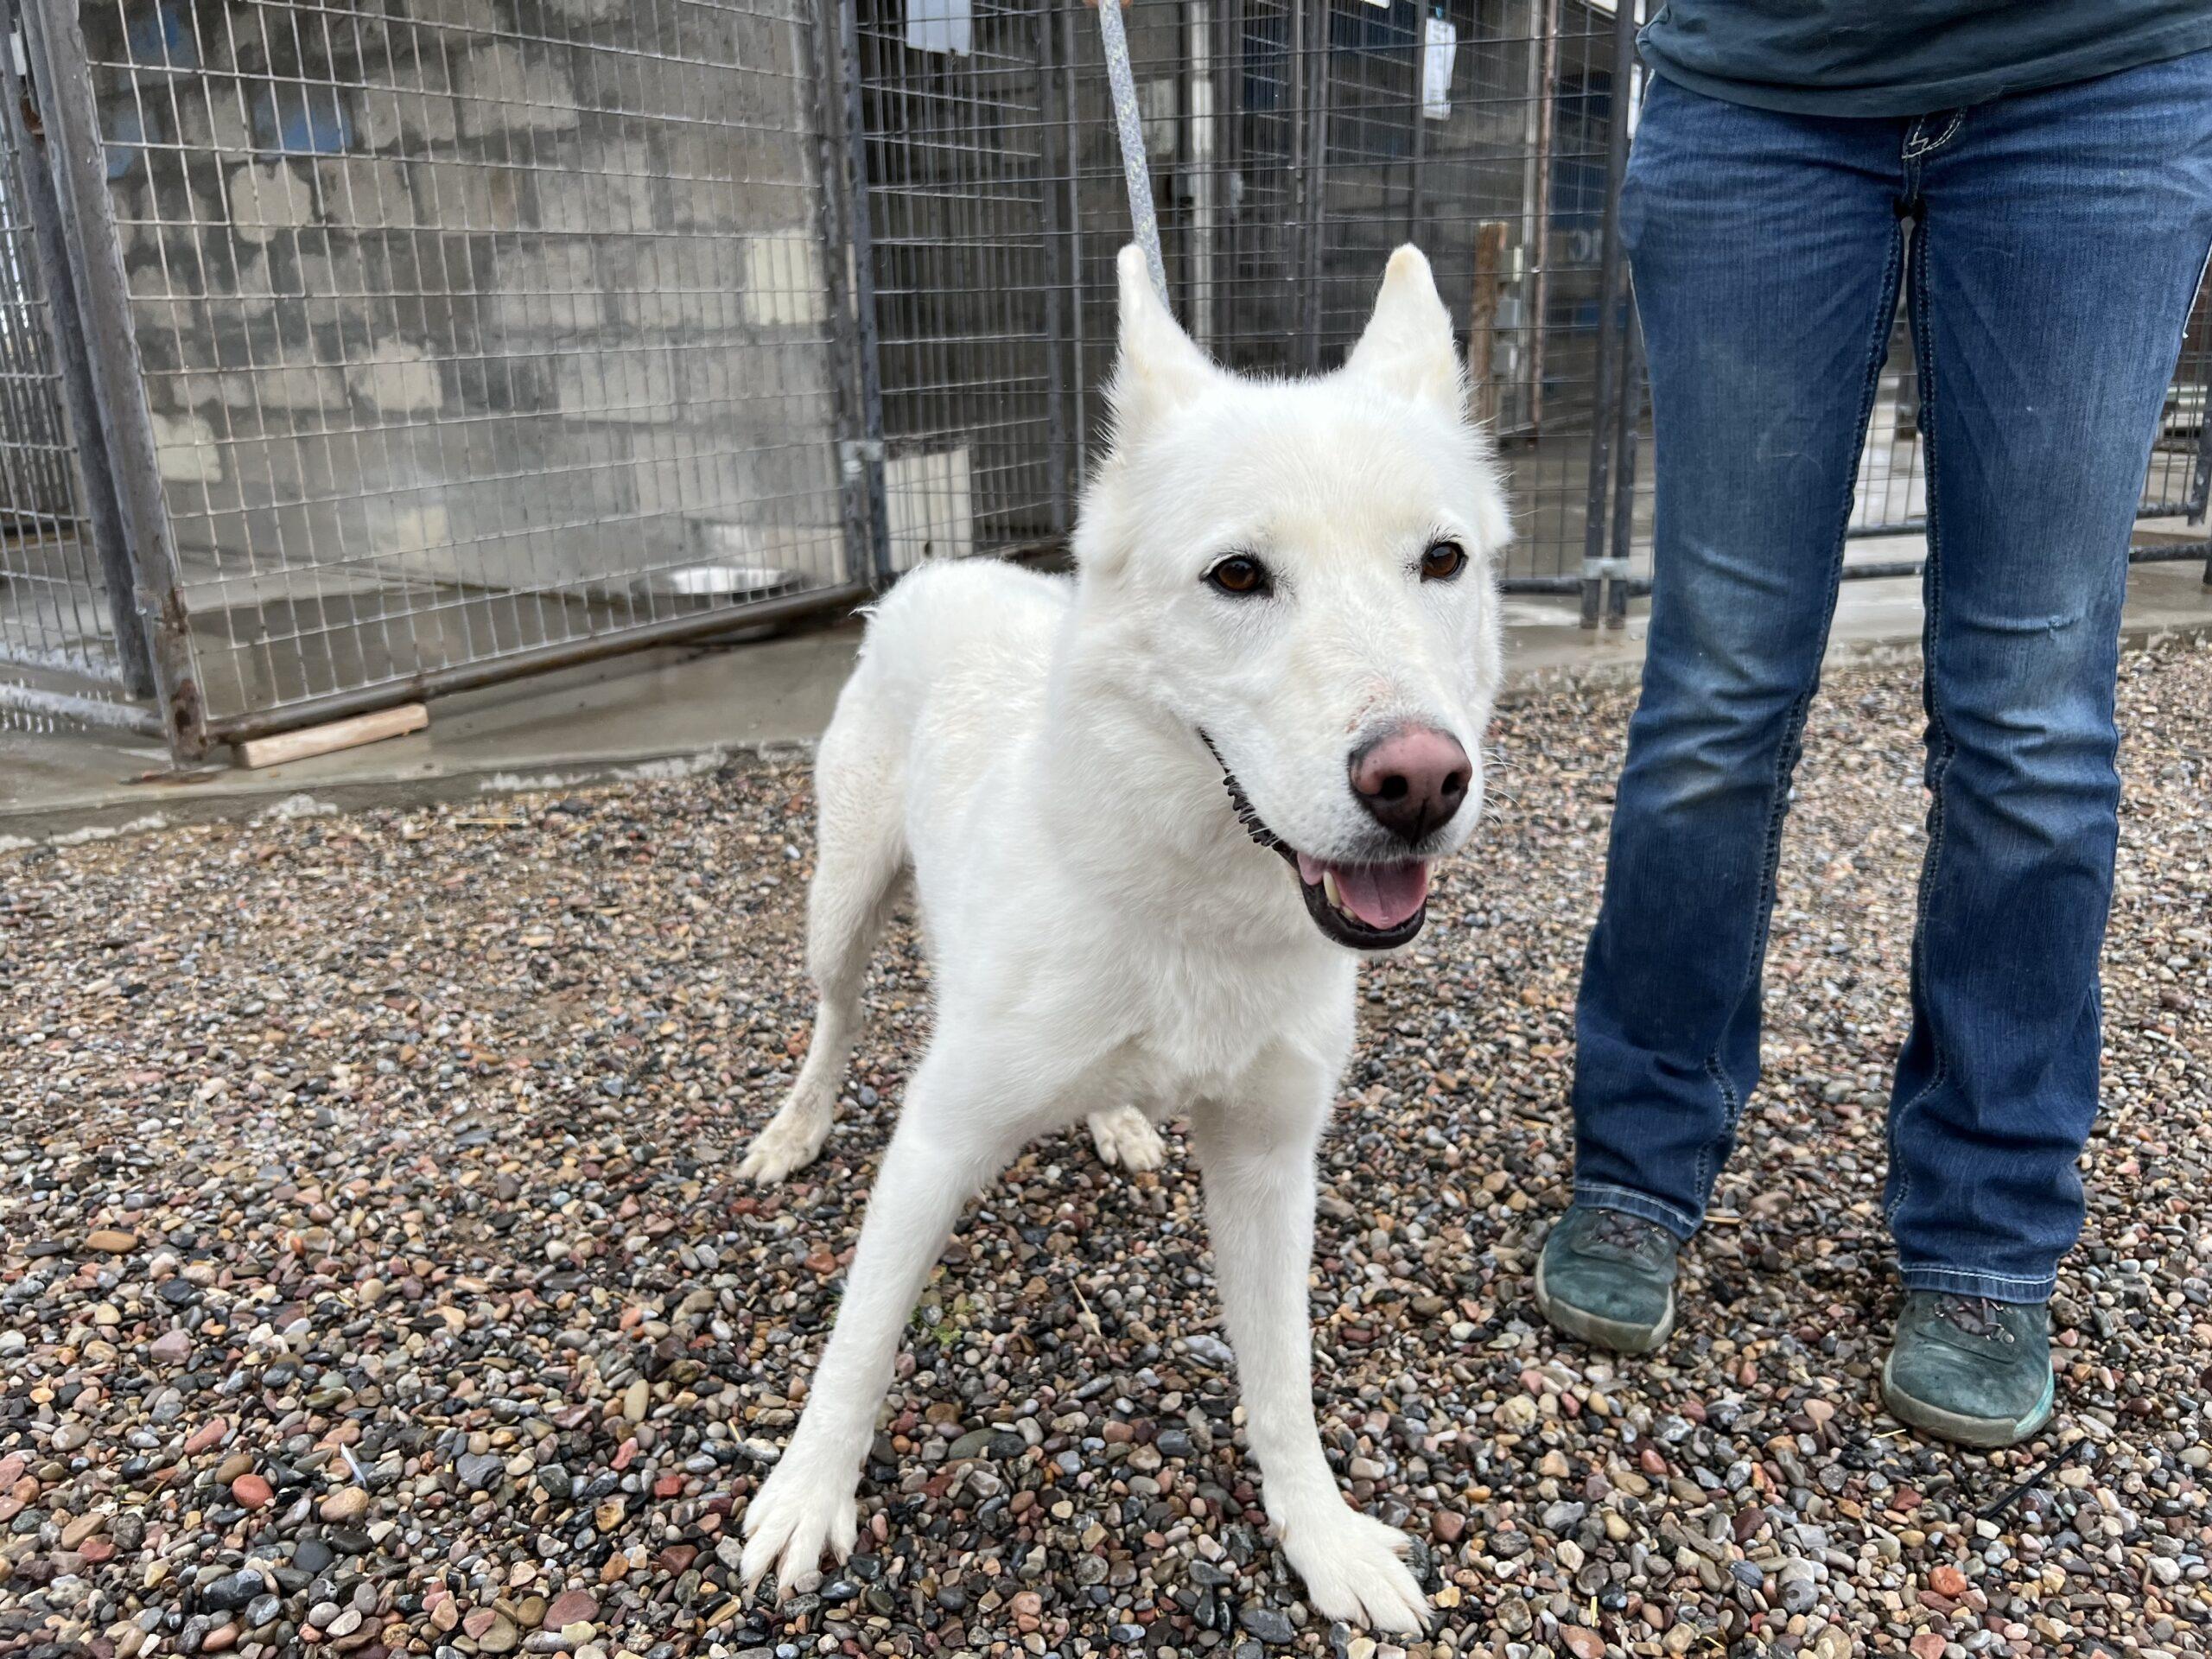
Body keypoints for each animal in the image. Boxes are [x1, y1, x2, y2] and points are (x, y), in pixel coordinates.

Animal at [734, 246, 1513, 1637]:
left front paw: (1320, 1539)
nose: (1420, 781)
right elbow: (859, 1346)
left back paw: (1118, 1121)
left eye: (1441, 559)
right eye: (1239, 576)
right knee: (835, 1017)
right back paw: (797, 1126)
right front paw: (806, 1497)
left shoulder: (1270, 1165)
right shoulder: (937, 1143)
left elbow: (1284, 1386)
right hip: (840, 902)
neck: (1186, 901)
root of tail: (946, 567)